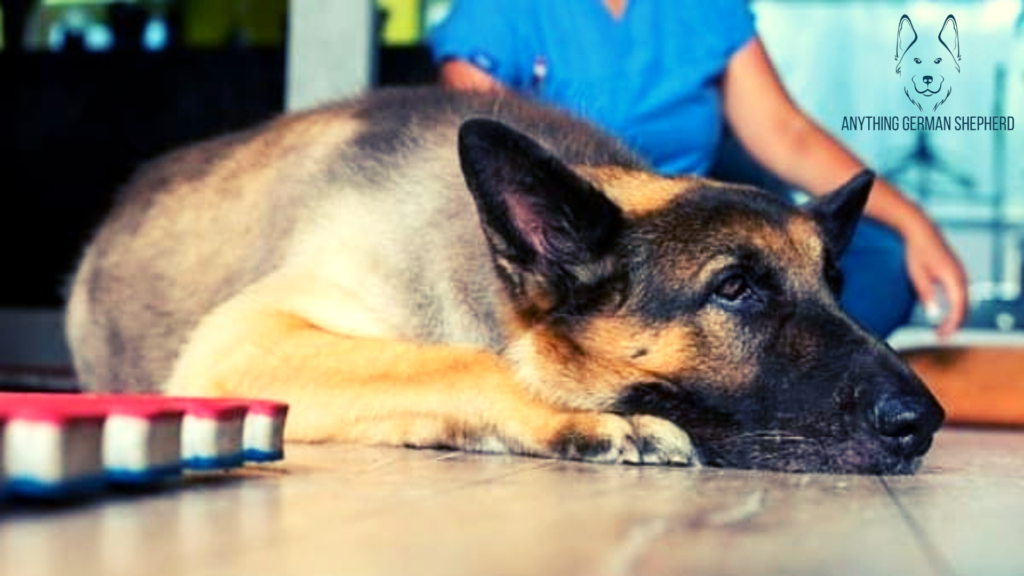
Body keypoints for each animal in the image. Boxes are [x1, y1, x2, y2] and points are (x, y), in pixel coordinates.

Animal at [64, 85, 942, 471]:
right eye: (735, 289)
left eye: (836, 285)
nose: (924, 422)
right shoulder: (240, 344)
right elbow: (458, 360)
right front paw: (579, 417)